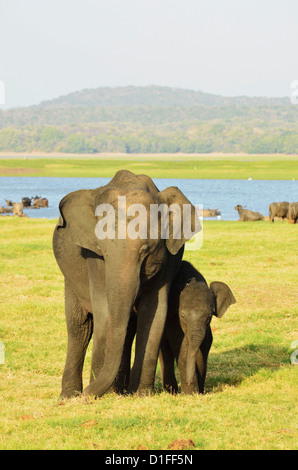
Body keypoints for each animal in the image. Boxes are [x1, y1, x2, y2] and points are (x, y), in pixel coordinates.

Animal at [53, 171, 200, 398]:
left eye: (145, 250)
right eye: (102, 250)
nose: (87, 394)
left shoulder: (167, 260)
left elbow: (154, 313)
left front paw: (140, 394)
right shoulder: (93, 259)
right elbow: (104, 312)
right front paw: (103, 393)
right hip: (70, 279)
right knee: (79, 327)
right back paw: (70, 395)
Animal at [159, 262, 236, 394]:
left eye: (209, 316)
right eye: (182, 316)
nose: (190, 381)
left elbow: (204, 347)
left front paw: (199, 391)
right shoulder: (172, 317)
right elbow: (180, 342)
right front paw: (190, 393)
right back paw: (171, 391)